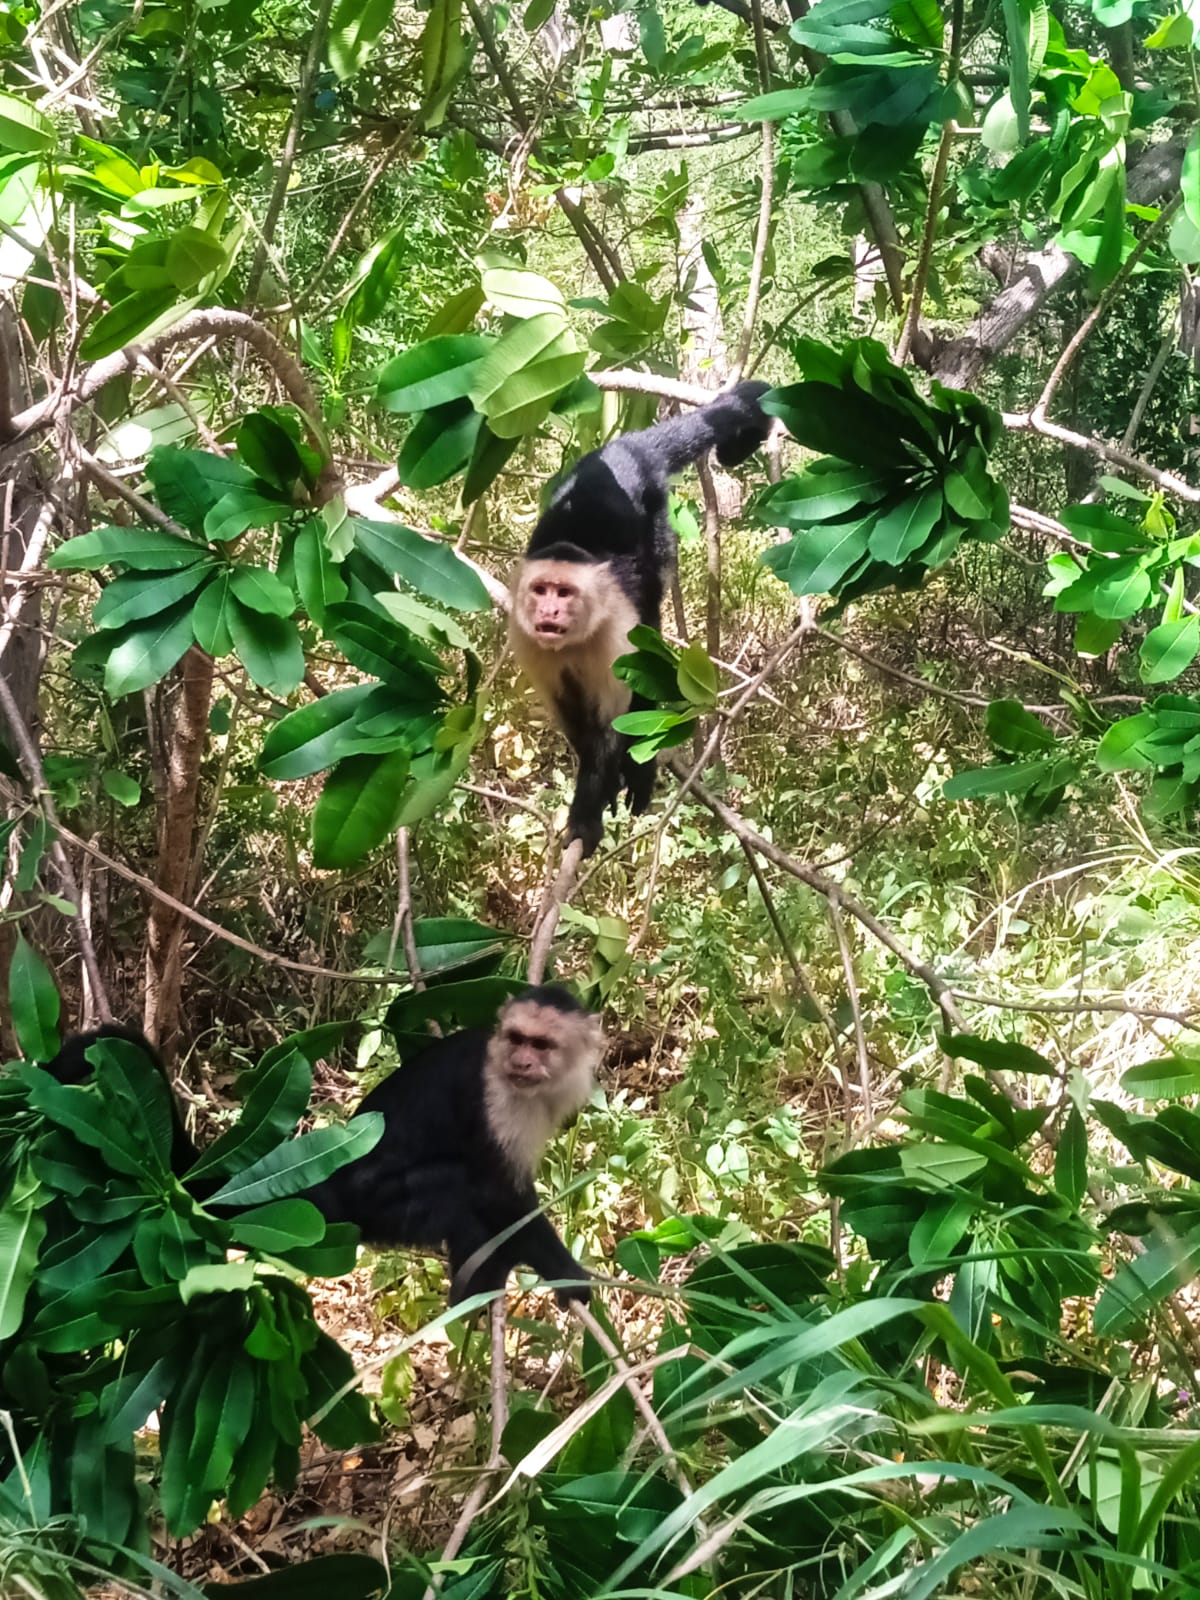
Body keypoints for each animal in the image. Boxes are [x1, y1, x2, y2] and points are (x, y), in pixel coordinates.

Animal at [304, 986, 603, 1307]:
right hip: (376, 1205)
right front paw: (569, 1276)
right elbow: (500, 1197)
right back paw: (470, 1295)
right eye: (516, 1038)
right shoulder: (500, 1101)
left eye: (541, 1044)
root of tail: (337, 1184)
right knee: (457, 1189)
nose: (521, 1062)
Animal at [509, 382, 772, 855]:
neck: (574, 640)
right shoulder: (529, 642)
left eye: (565, 593)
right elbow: (575, 722)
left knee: (648, 622)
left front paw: (587, 817)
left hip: (656, 517)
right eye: (540, 591)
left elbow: (613, 724)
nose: (549, 610)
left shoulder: (612, 632)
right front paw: (598, 792)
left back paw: (639, 773)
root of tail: (627, 447)